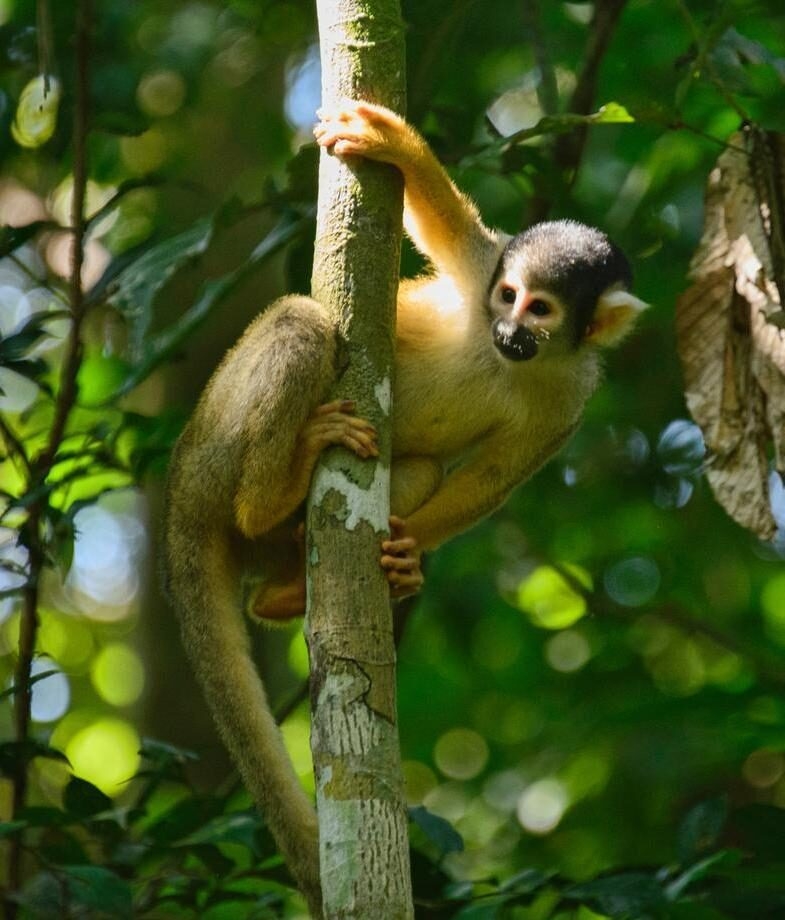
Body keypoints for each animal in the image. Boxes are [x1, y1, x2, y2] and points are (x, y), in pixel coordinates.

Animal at [162, 99, 647, 916]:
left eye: (543, 310)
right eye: (509, 296)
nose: (509, 331)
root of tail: (179, 488)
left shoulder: (574, 395)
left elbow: (497, 478)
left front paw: (410, 556)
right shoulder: (484, 271)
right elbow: (449, 228)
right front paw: (391, 143)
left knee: (411, 466)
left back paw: (283, 589)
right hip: (216, 447)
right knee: (300, 321)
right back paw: (270, 496)